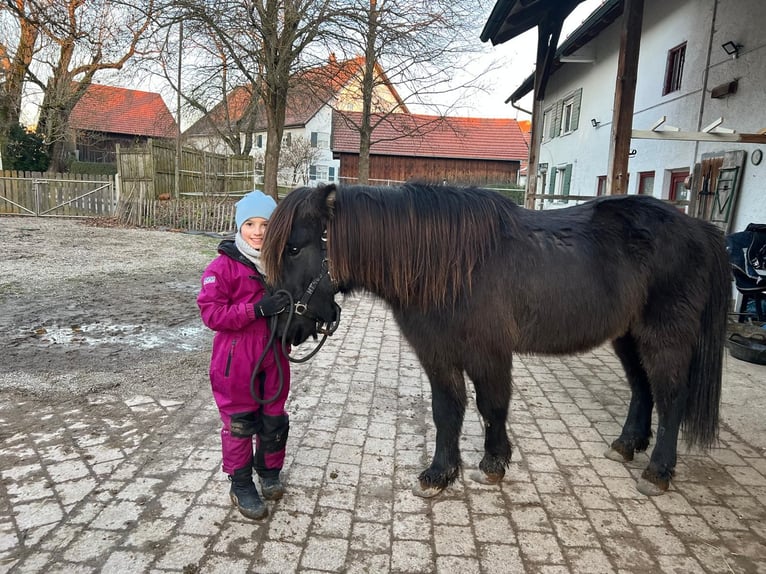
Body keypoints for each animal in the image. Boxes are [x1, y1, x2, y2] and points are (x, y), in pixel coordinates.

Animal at [264, 184, 732, 500]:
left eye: (294, 248)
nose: (284, 328)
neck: (449, 264)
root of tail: (700, 228)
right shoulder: (437, 354)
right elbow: (446, 411)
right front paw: (440, 473)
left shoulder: (488, 353)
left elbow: (491, 406)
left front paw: (493, 462)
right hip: (628, 336)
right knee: (642, 389)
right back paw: (627, 444)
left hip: (664, 337)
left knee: (671, 397)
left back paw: (658, 471)